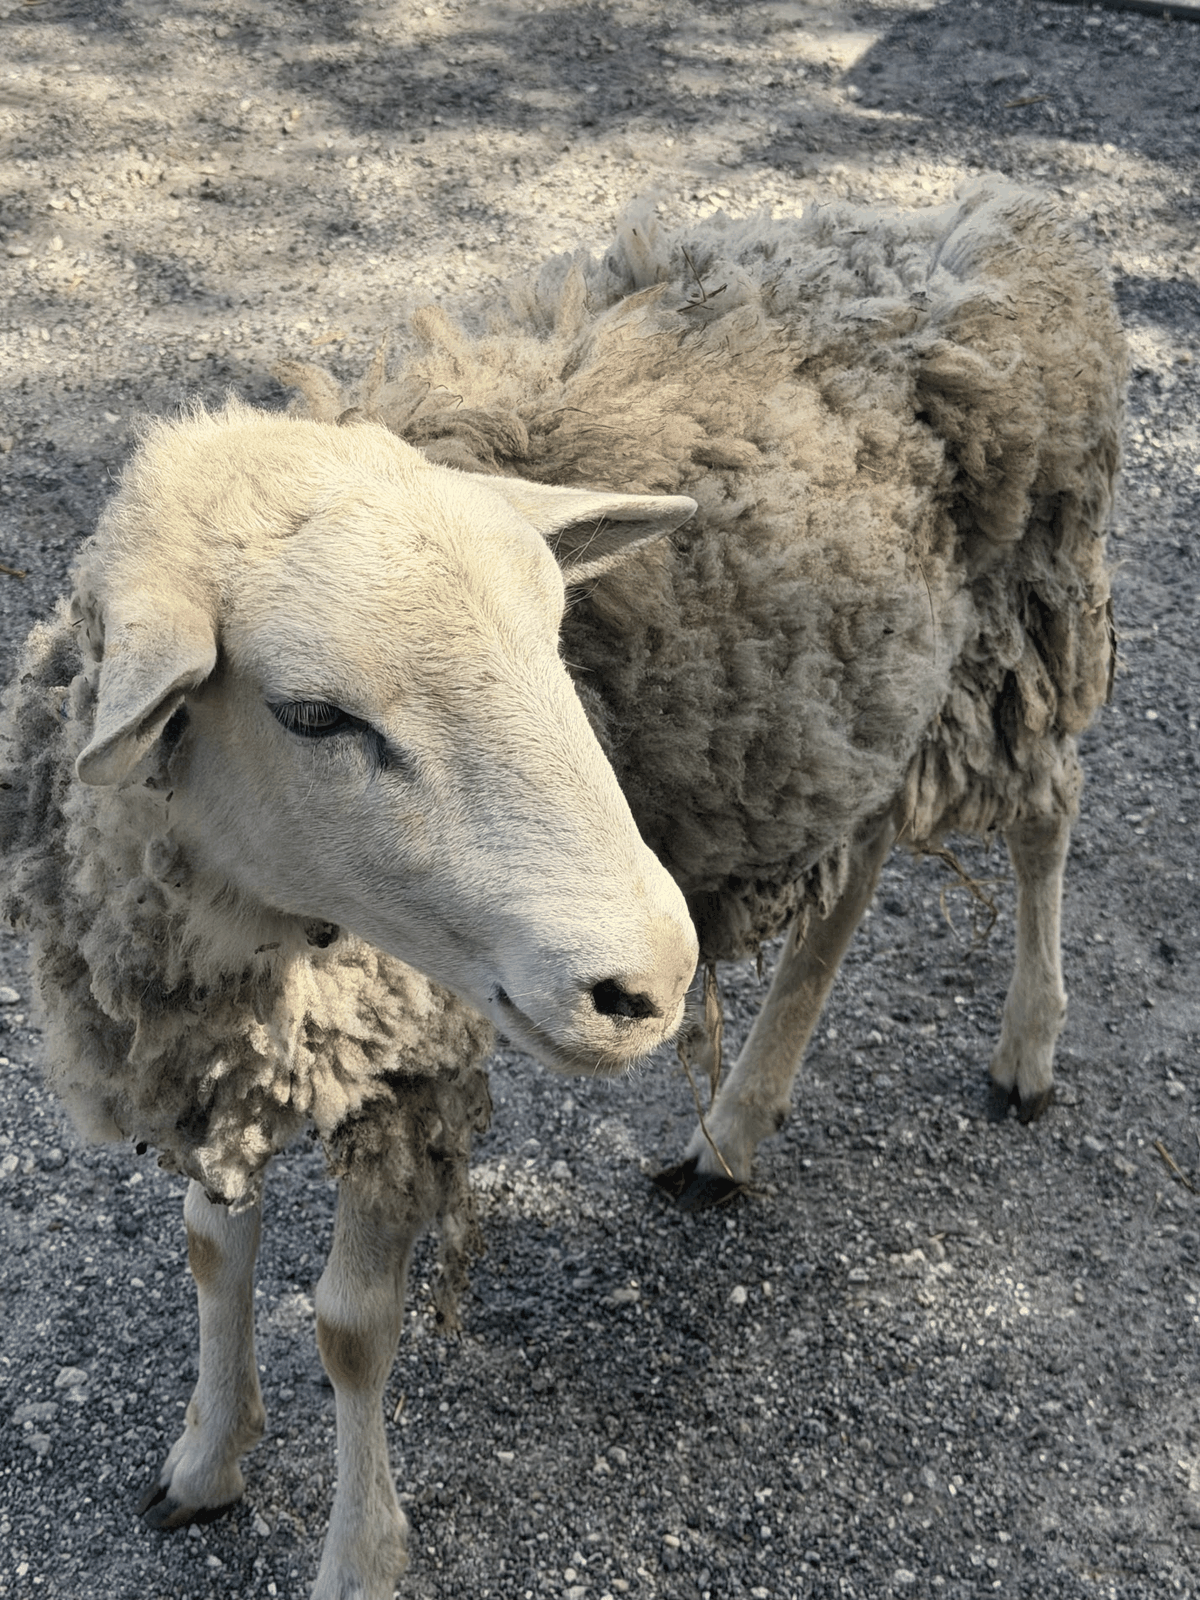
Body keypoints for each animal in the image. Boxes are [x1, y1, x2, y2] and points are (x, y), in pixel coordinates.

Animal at [0, 174, 1125, 1598]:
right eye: (310, 713)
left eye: (555, 633)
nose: (648, 980)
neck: (253, 933)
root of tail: (1017, 218)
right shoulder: (227, 1035)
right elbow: (212, 1248)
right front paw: (204, 1460)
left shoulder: (405, 1050)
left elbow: (351, 1325)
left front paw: (358, 1553)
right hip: (857, 700)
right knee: (855, 879)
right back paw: (734, 1129)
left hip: (1032, 611)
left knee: (1048, 813)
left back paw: (1026, 1049)